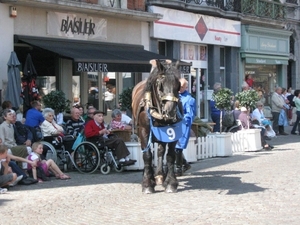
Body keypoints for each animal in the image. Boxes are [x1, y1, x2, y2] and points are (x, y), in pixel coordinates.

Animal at [132, 59, 183, 193]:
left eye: (178, 84)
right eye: (160, 85)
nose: (170, 111)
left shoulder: (172, 132)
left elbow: (170, 156)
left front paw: (170, 183)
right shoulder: (144, 131)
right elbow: (147, 155)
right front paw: (147, 184)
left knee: (160, 151)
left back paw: (160, 175)